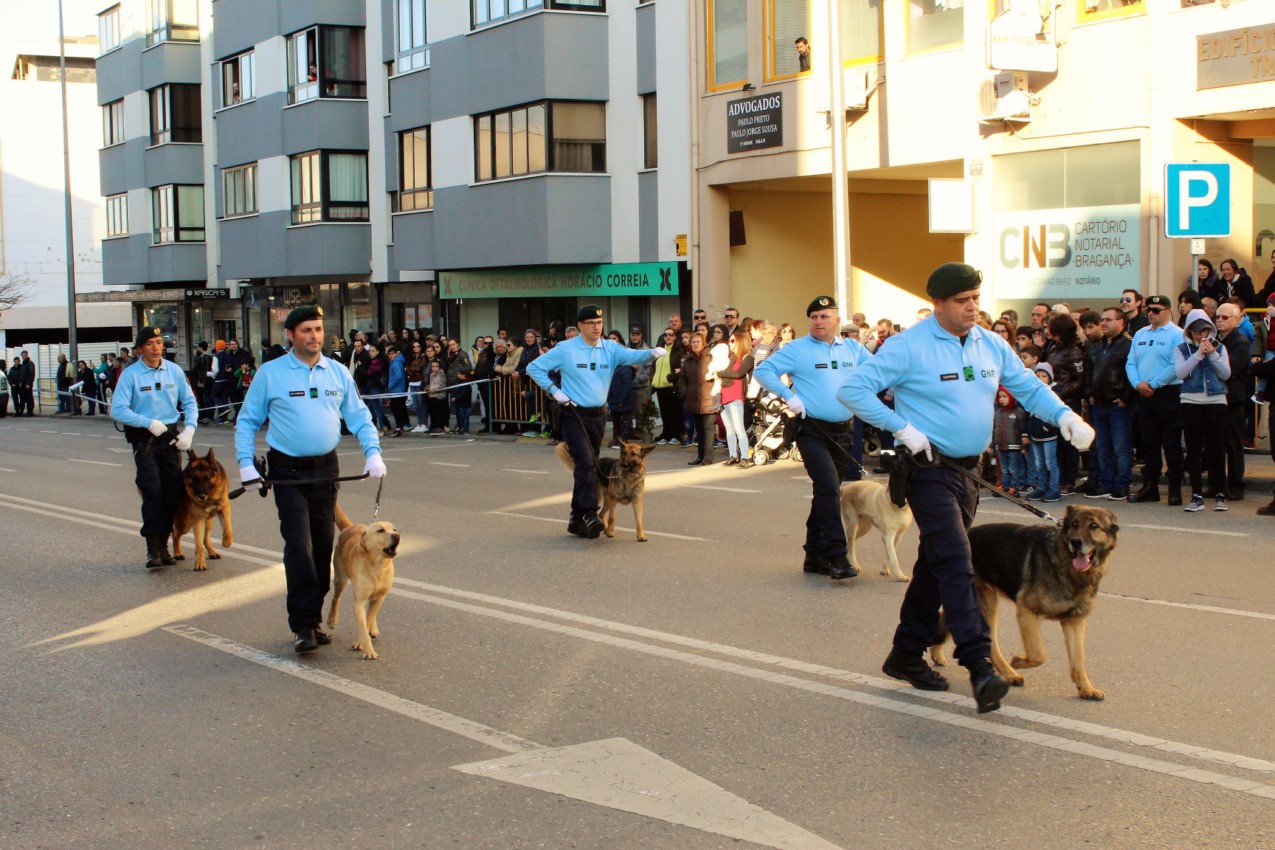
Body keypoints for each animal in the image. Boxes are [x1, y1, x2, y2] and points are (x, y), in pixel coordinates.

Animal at [323, 502, 397, 662]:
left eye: (394, 529)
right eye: (380, 530)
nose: (396, 535)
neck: (377, 566)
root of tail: (350, 527)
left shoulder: (380, 596)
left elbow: (368, 619)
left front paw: (362, 640)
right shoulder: (358, 602)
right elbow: (363, 625)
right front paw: (366, 648)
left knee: (372, 612)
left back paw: (373, 628)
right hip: (340, 578)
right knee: (336, 598)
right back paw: (332, 619)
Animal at [933, 509, 1122, 703]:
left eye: (1094, 526)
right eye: (1074, 524)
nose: (1075, 542)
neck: (1063, 561)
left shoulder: (1074, 623)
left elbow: (1078, 661)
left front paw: (1086, 689)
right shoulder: (1027, 612)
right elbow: (1038, 654)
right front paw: (1018, 660)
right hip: (983, 603)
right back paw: (1008, 672)